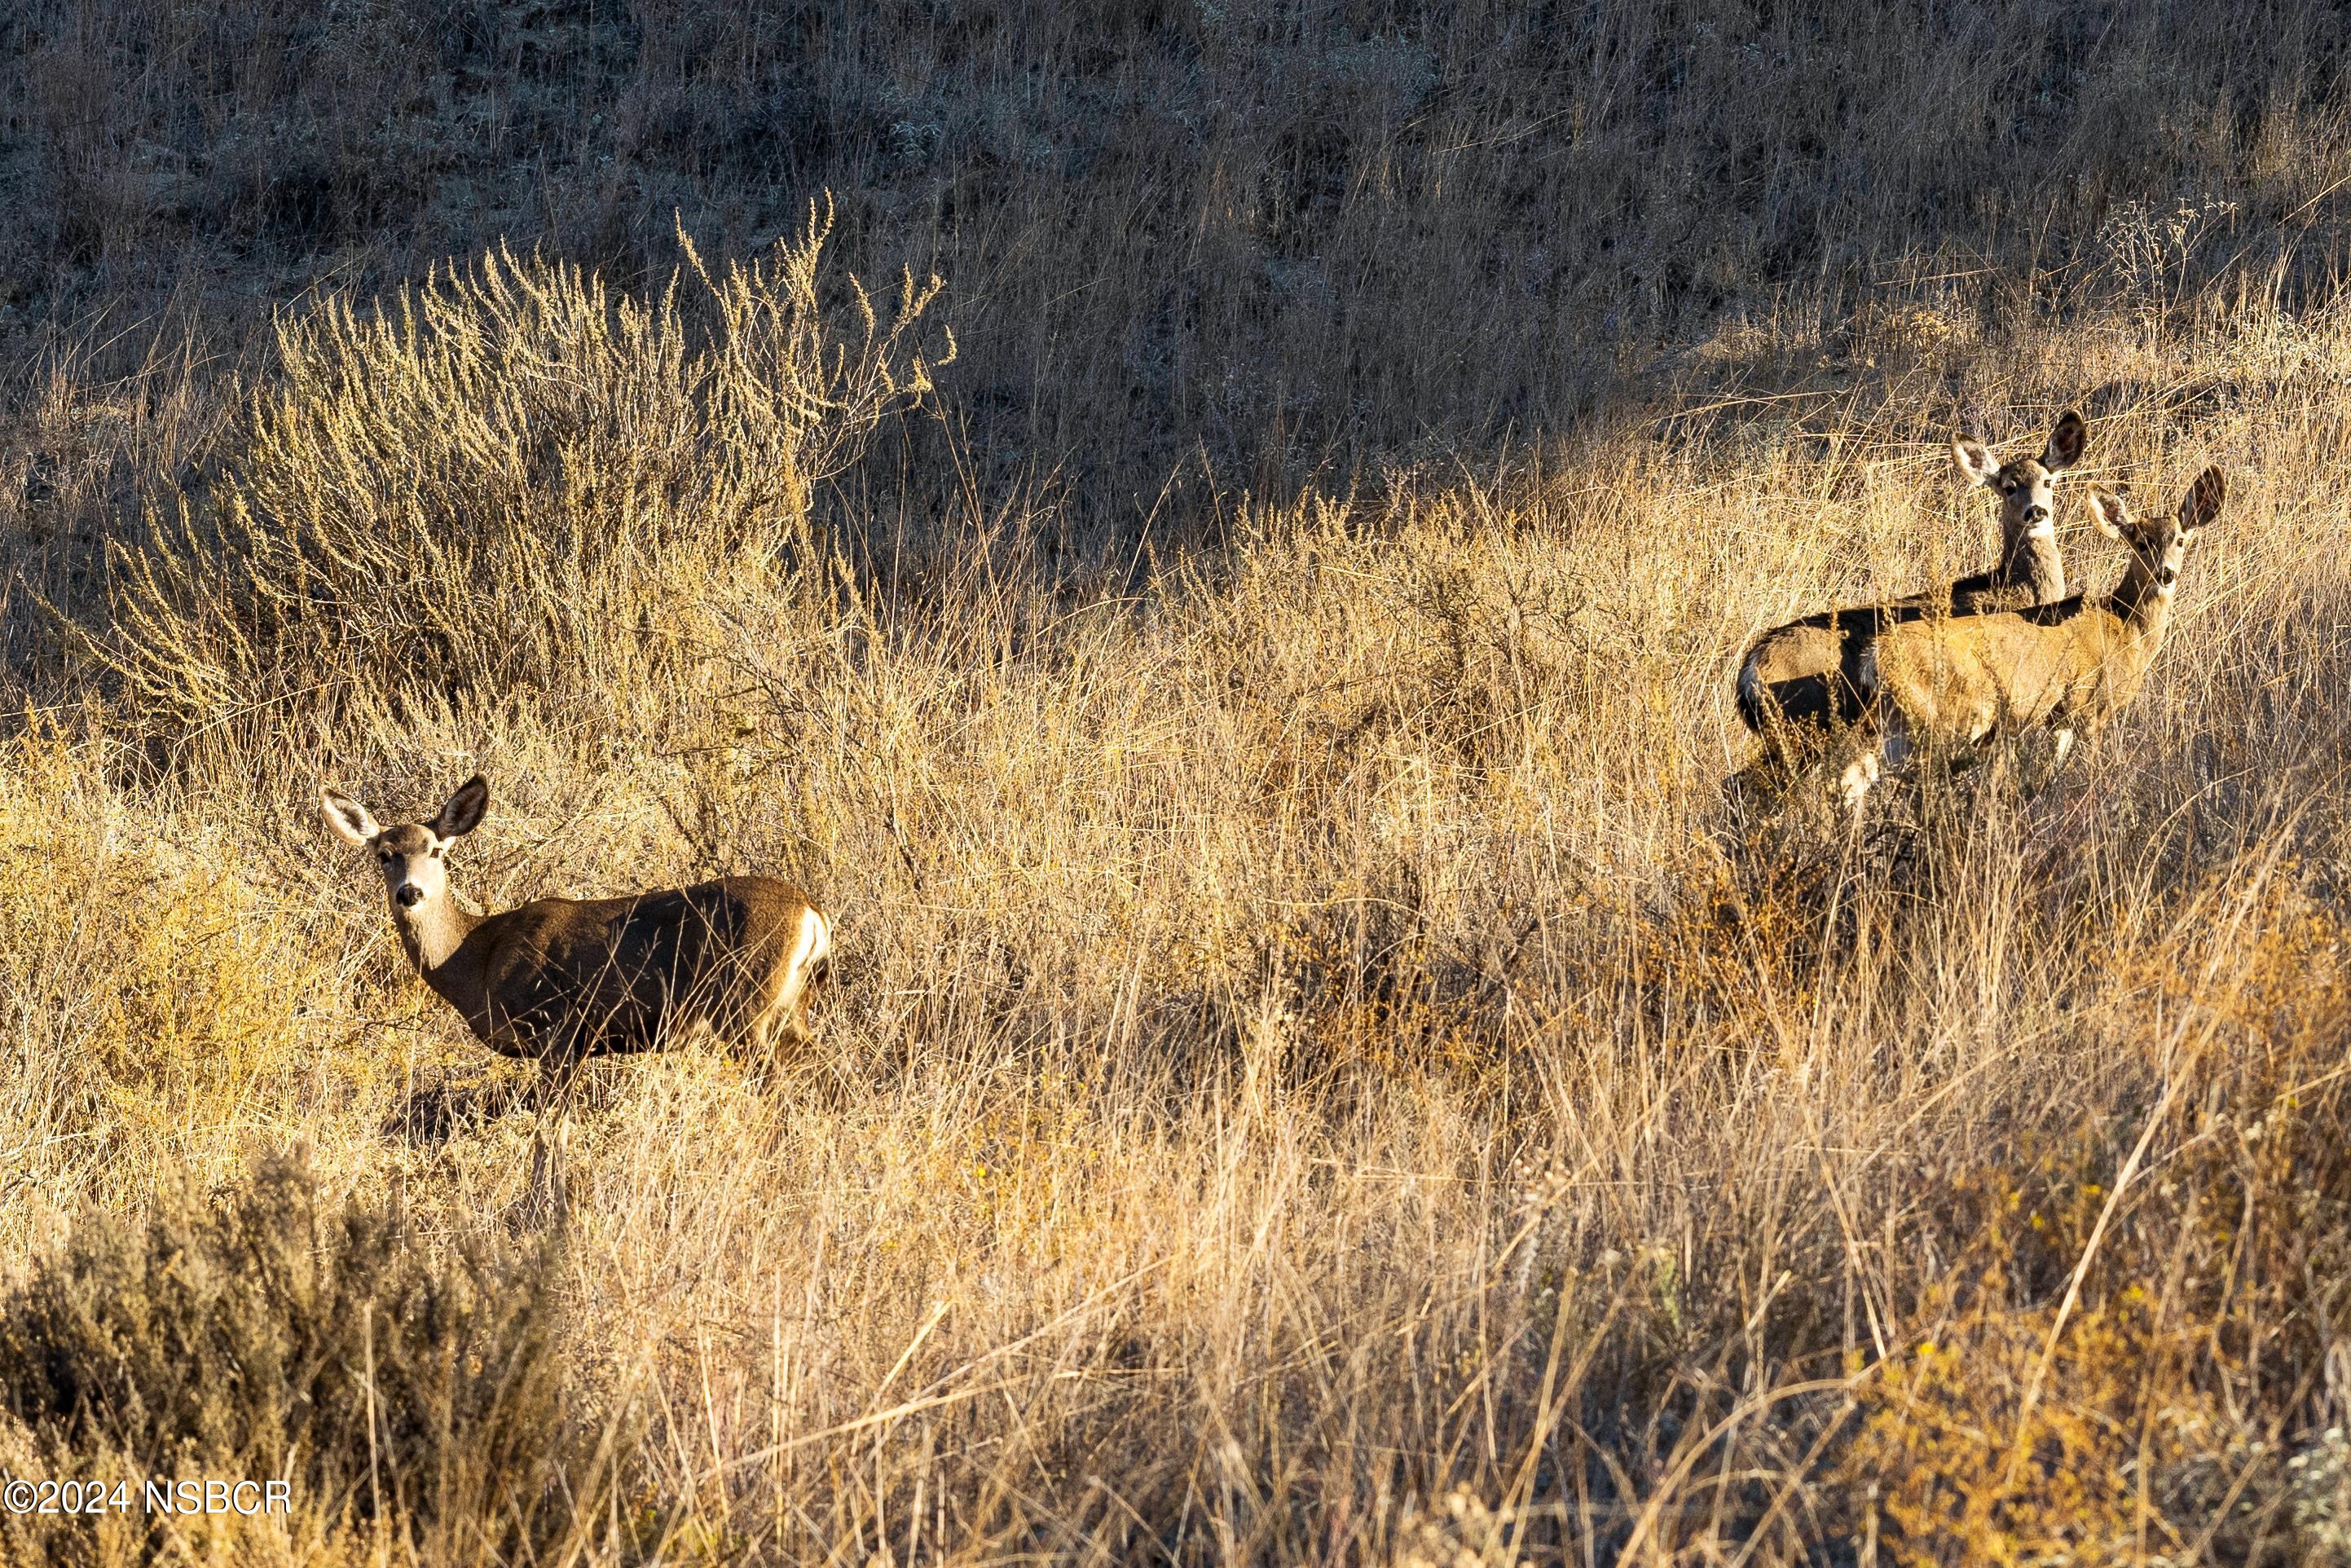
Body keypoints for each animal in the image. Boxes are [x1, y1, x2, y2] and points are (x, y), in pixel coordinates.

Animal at [321, 775, 831, 1068]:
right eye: (385, 855)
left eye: (435, 851)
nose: (410, 892)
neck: (476, 959)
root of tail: (813, 914)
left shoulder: (559, 1029)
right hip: (791, 1006)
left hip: (746, 1003)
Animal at [1735, 410, 2088, 766]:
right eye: (2009, 488)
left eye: (2047, 482)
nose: (2036, 512)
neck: (2013, 588)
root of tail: (1749, 674)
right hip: (1811, 724)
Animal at [1837, 466, 2227, 812]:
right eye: (2141, 544)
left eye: (2180, 540)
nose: (2166, 573)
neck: (2126, 627)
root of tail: (1874, 658)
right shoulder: (2091, 706)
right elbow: (2093, 769)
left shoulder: (2060, 719)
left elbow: (2051, 770)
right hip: (1954, 713)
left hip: (1891, 720)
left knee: (1852, 776)